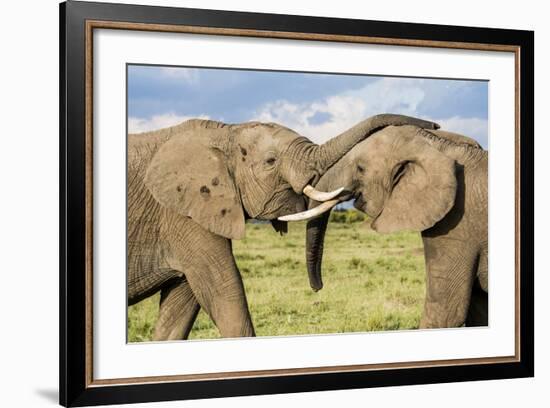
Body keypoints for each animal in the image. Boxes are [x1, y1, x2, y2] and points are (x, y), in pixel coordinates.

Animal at [126, 113, 440, 340]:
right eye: (270, 161)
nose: (434, 125)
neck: (225, 131)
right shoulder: (182, 215)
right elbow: (225, 292)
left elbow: (182, 306)